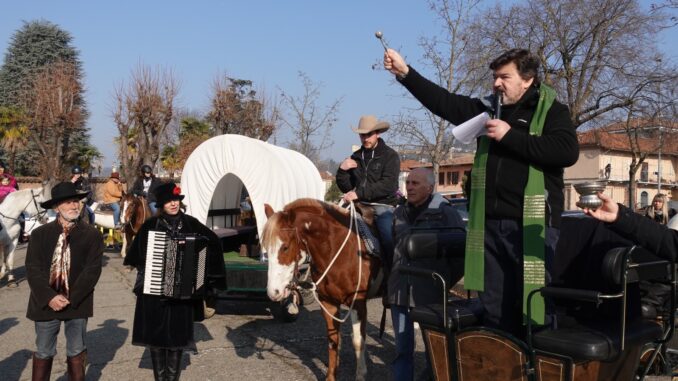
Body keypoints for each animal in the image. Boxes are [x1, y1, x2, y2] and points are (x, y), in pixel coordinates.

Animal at [262, 199, 380, 380]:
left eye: (286, 247)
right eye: (266, 248)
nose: (273, 292)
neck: (337, 251)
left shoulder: (358, 304)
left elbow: (358, 341)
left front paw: (360, 374)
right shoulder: (328, 302)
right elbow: (333, 340)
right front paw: (331, 376)